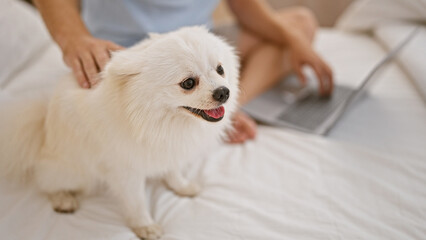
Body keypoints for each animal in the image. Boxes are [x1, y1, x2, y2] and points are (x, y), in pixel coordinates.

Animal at [0, 26, 240, 240]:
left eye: (220, 69)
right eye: (188, 83)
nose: (223, 92)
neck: (160, 121)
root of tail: (43, 128)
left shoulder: (167, 147)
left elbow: (173, 171)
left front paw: (181, 186)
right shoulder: (125, 170)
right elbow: (136, 202)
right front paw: (145, 226)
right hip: (72, 172)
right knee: (45, 181)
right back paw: (62, 198)